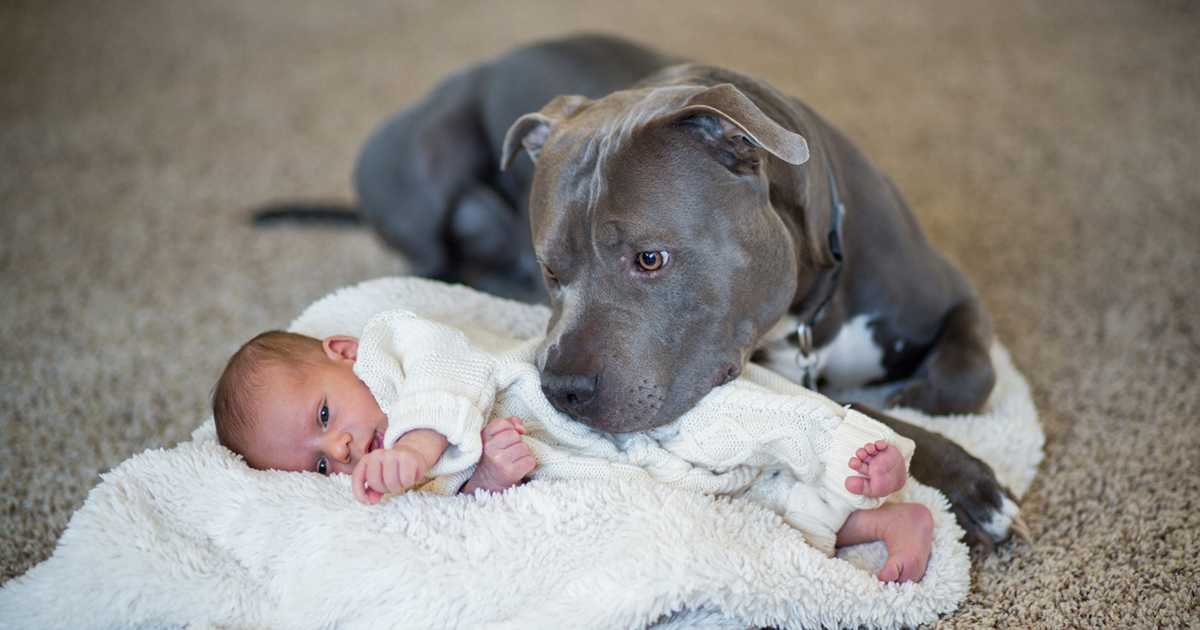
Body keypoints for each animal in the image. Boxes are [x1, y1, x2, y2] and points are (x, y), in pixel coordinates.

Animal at [258, 33, 1017, 544]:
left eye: (650, 258)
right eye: (553, 270)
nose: (560, 390)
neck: (813, 306)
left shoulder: (954, 292)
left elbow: (968, 375)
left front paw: (924, 406)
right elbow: (869, 417)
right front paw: (966, 477)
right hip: (420, 162)